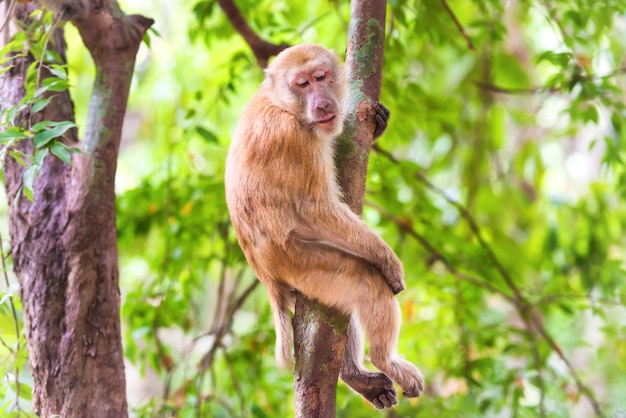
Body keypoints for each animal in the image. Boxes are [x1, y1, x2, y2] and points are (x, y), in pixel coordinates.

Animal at [224, 43, 424, 408]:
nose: (322, 103)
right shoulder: (295, 138)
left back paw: (354, 375)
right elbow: (314, 210)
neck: (283, 105)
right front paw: (386, 258)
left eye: (321, 77)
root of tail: (266, 275)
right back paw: (384, 359)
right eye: (302, 84)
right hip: (299, 263)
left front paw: (377, 124)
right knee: (365, 280)